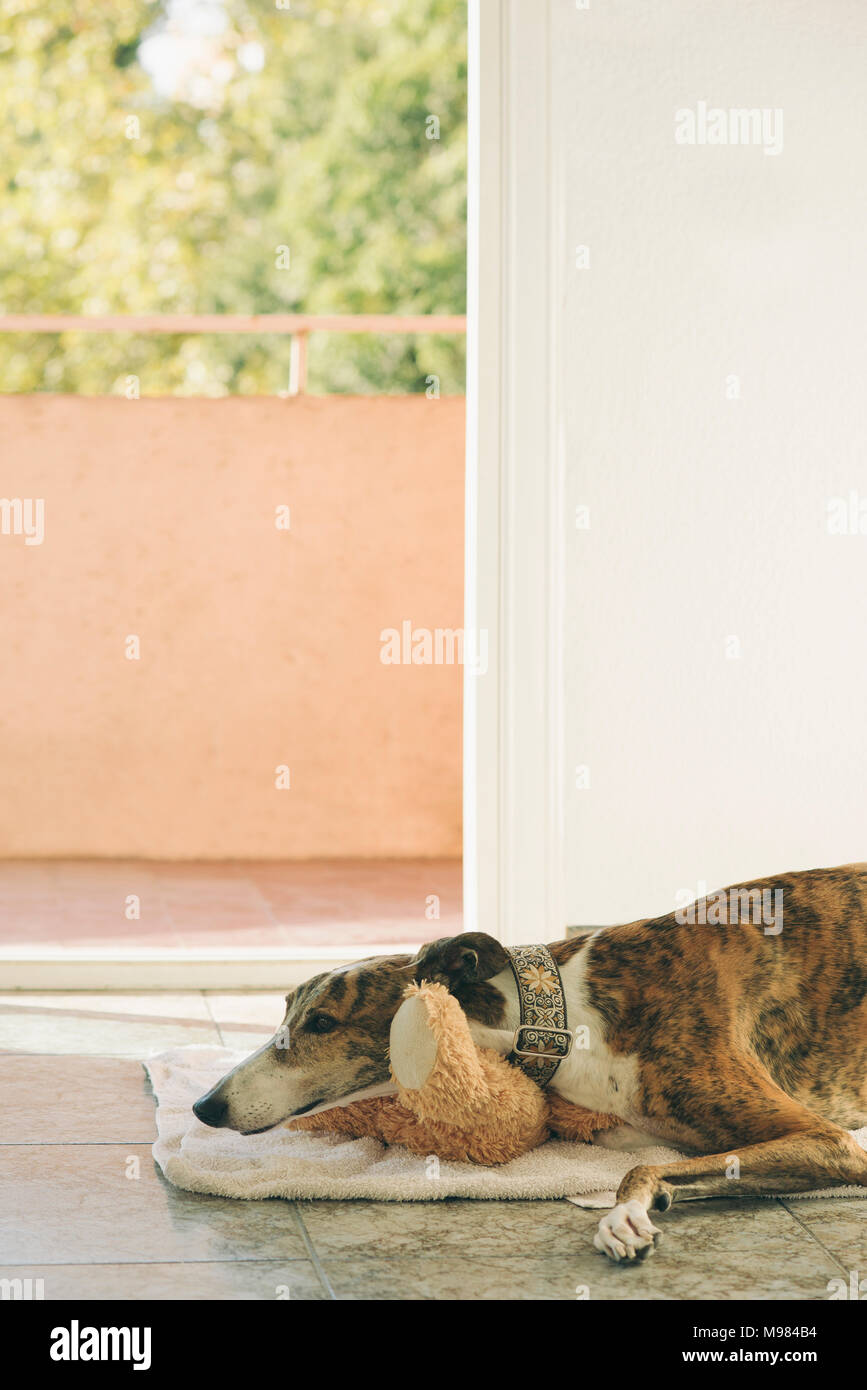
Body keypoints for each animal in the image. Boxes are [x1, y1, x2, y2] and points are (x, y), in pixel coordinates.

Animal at [194, 856, 867, 1262]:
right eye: (284, 1010)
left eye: (323, 1023)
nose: (205, 1106)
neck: (564, 1013)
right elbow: (657, 1160)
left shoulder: (831, 1142)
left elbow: (643, 1168)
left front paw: (623, 1215)